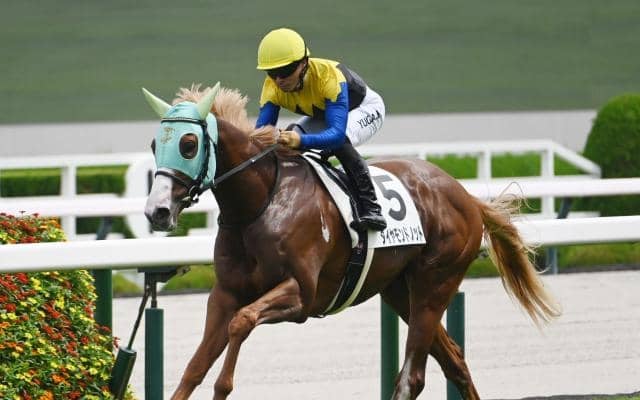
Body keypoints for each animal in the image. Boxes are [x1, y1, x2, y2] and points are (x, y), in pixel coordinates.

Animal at [141, 82, 560, 400]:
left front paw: (224, 385)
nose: (156, 211)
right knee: (454, 361)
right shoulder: (225, 293)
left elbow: (241, 324)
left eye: (189, 144)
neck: (259, 202)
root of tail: (467, 197)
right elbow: (194, 367)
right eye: (154, 145)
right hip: (399, 291)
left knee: (413, 376)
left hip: (436, 282)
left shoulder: (301, 295)